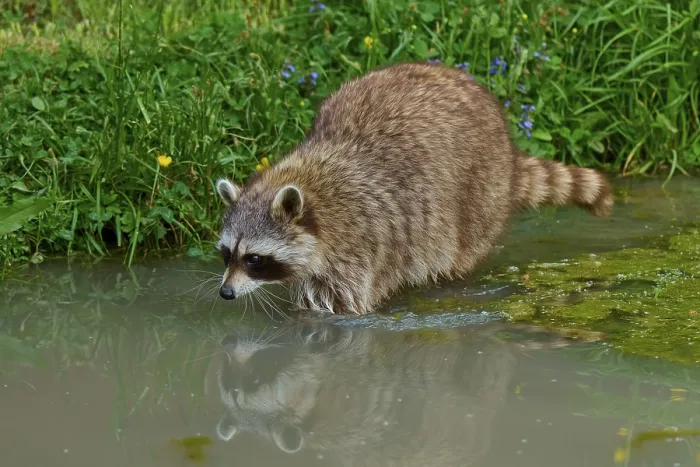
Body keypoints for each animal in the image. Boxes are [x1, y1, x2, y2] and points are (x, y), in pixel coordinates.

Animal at [214, 62, 614, 315]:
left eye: (254, 259)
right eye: (226, 253)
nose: (225, 293)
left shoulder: (358, 245)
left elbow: (338, 307)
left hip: (479, 193)